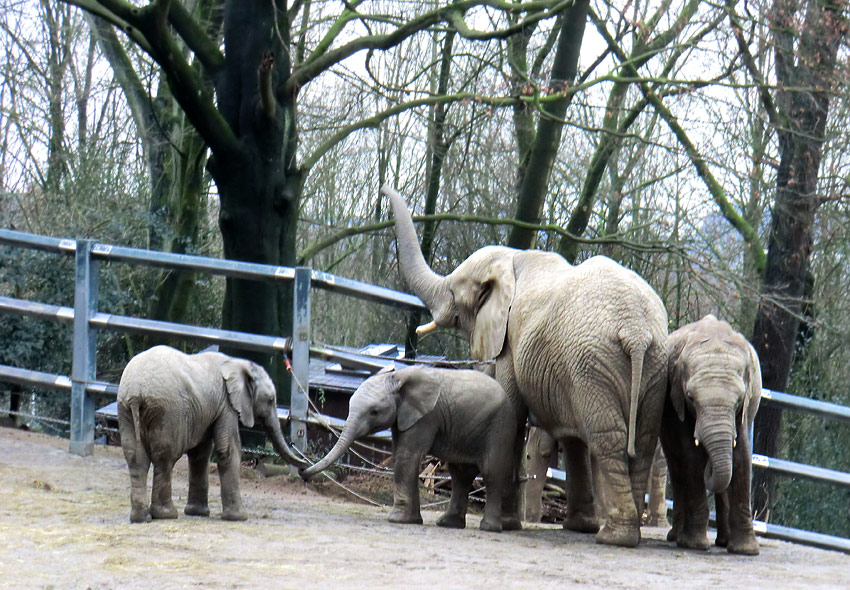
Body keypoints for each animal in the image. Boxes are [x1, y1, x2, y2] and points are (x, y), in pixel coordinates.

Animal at [116, 346, 306, 524]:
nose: (305, 465)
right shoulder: (227, 405)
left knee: (136, 459)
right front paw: (239, 518)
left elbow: (200, 454)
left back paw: (141, 518)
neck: (238, 363)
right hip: (167, 411)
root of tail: (136, 391)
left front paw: (198, 513)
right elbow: (227, 449)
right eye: (271, 400)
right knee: (165, 458)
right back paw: (166, 515)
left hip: (125, 410)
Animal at [298, 368, 516, 536]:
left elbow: (407, 455)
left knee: (491, 473)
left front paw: (398, 520)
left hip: (500, 426)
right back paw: (448, 524)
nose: (302, 473)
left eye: (374, 412)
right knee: (461, 475)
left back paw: (489, 529)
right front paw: (410, 520)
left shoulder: (426, 416)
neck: (398, 377)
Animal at [384, 186, 668, 552]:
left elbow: (514, 414)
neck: (512, 258)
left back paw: (615, 537)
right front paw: (578, 527)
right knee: (642, 441)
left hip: (593, 364)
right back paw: (621, 533)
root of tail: (635, 330)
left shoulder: (512, 342)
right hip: (649, 366)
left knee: (607, 437)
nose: (385, 191)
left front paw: (506, 525)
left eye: (454, 291)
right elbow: (571, 438)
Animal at [656, 316, 760, 556]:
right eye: (691, 397)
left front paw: (746, 550)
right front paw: (694, 545)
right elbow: (691, 457)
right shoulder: (677, 403)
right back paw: (676, 537)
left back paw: (723, 541)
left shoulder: (743, 412)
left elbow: (741, 456)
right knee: (677, 468)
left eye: (739, 399)